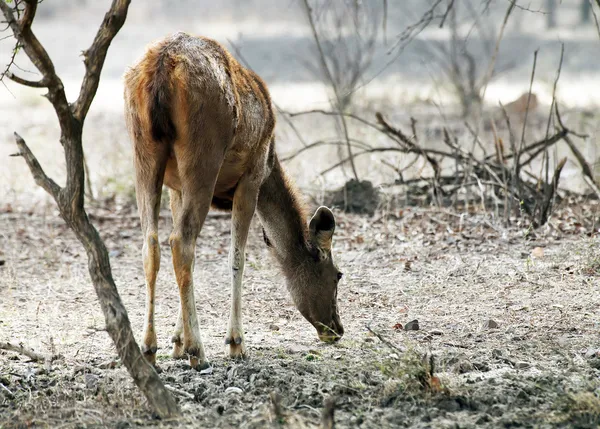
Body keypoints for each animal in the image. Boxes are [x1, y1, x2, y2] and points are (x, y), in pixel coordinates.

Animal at [123, 32, 342, 368]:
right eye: (337, 275)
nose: (337, 329)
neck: (272, 161)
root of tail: (161, 71)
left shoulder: (176, 187)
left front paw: (176, 342)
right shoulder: (251, 176)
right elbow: (237, 257)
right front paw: (235, 343)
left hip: (143, 150)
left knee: (153, 243)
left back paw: (149, 347)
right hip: (203, 154)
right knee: (181, 241)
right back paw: (198, 351)